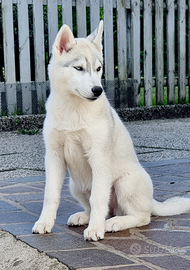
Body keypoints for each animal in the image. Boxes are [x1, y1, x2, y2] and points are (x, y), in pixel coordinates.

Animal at [33, 20, 190, 240]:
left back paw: (113, 223)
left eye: (99, 68)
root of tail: (151, 201)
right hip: (76, 185)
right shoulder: (54, 156)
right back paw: (85, 217)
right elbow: (51, 195)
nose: (97, 90)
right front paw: (45, 223)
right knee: (102, 208)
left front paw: (95, 229)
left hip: (125, 184)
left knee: (141, 216)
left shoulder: (99, 156)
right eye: (78, 68)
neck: (73, 110)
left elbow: (99, 198)